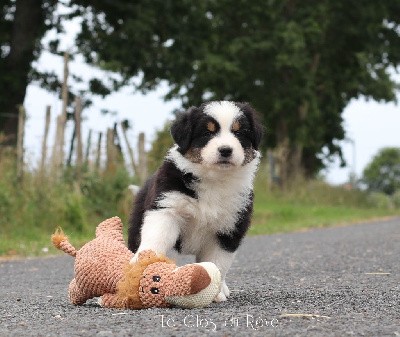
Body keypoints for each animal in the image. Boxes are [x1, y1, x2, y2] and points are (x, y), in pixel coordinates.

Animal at [128, 100, 264, 302]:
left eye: (239, 132)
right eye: (207, 133)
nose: (226, 150)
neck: (214, 180)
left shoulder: (230, 226)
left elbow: (217, 262)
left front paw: (214, 291)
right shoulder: (166, 209)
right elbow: (156, 239)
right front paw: (141, 265)